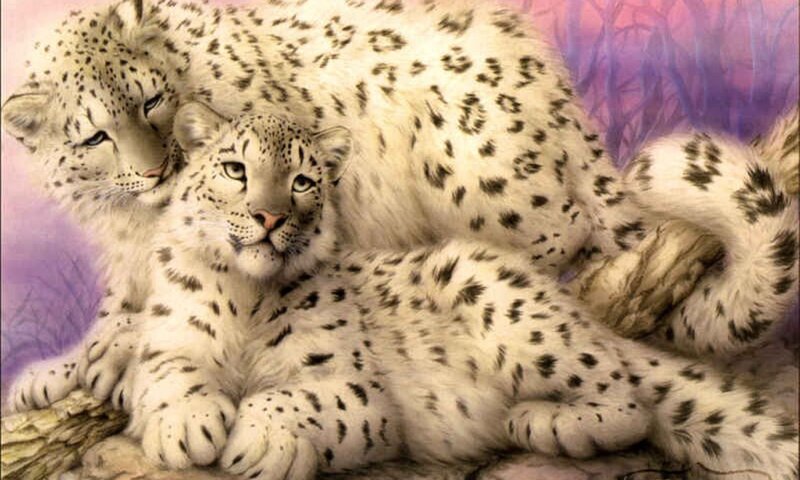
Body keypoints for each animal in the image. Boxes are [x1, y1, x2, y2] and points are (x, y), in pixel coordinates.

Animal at [3, 0, 797, 412]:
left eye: (150, 98)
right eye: (96, 135)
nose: (156, 166)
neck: (140, 221)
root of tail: (554, 90)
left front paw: (112, 359)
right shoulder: (127, 247)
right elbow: (131, 297)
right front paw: (67, 366)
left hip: (477, 169)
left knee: (565, 231)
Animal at [122, 109, 798, 479]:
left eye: (303, 181)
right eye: (235, 169)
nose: (268, 217)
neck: (248, 298)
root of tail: (574, 310)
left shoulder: (363, 397)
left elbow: (299, 397)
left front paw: (259, 442)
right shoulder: (166, 340)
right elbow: (164, 373)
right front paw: (185, 425)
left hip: (497, 298)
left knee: (627, 397)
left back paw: (543, 421)